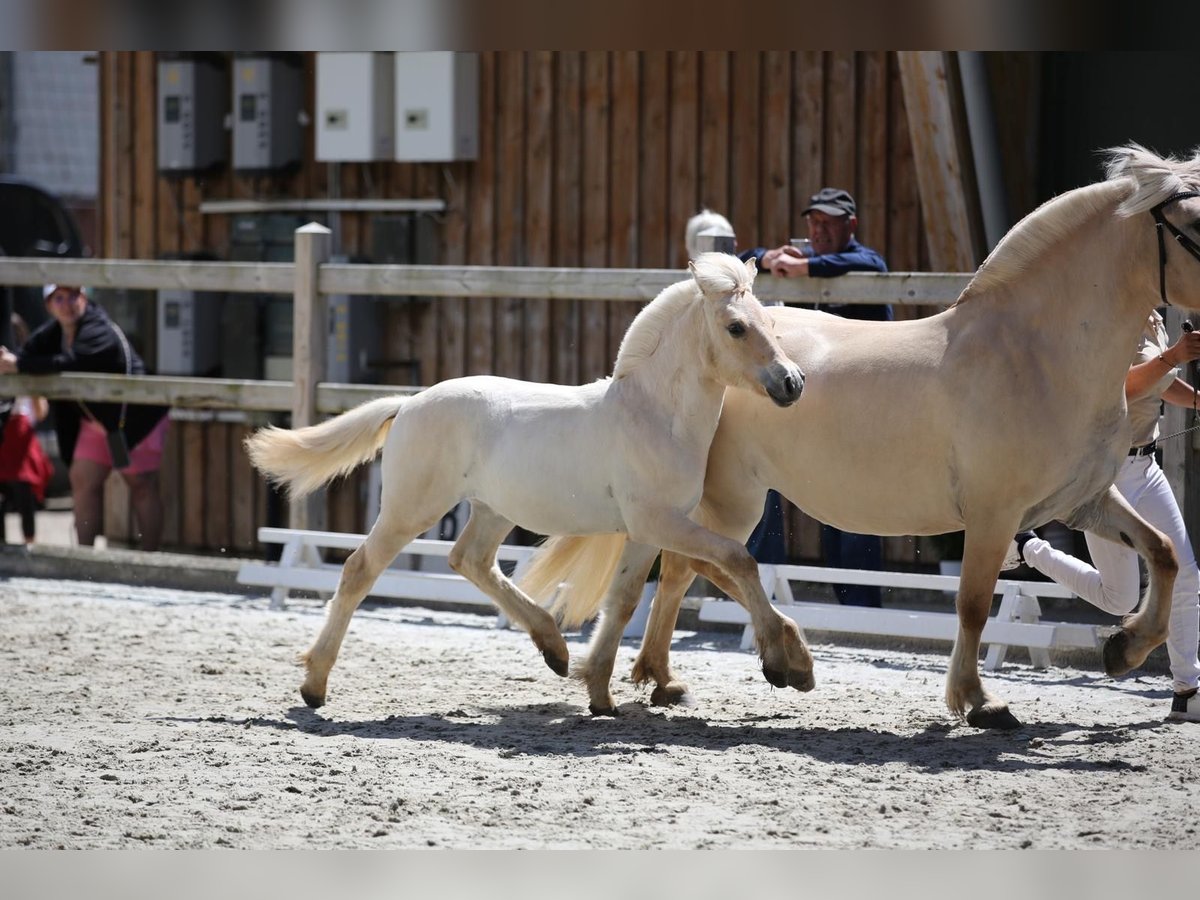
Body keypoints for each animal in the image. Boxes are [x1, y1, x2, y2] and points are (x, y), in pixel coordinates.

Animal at [244, 252, 811, 710]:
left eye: (770, 322)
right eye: (736, 327)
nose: (792, 383)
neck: (653, 416)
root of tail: (408, 404)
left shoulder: (646, 531)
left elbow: (624, 601)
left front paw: (600, 695)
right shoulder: (659, 522)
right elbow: (738, 559)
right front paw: (779, 666)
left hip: (493, 510)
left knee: (469, 560)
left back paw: (554, 649)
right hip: (411, 509)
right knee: (360, 570)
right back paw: (314, 685)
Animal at [530, 144, 1200, 729]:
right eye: (1193, 224)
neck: (1033, 354)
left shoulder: (1081, 500)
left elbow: (1164, 552)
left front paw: (1124, 649)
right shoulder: (993, 514)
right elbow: (972, 603)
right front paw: (978, 702)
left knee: (682, 569)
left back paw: (666, 680)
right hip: (731, 500)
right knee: (703, 565)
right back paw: (777, 661)